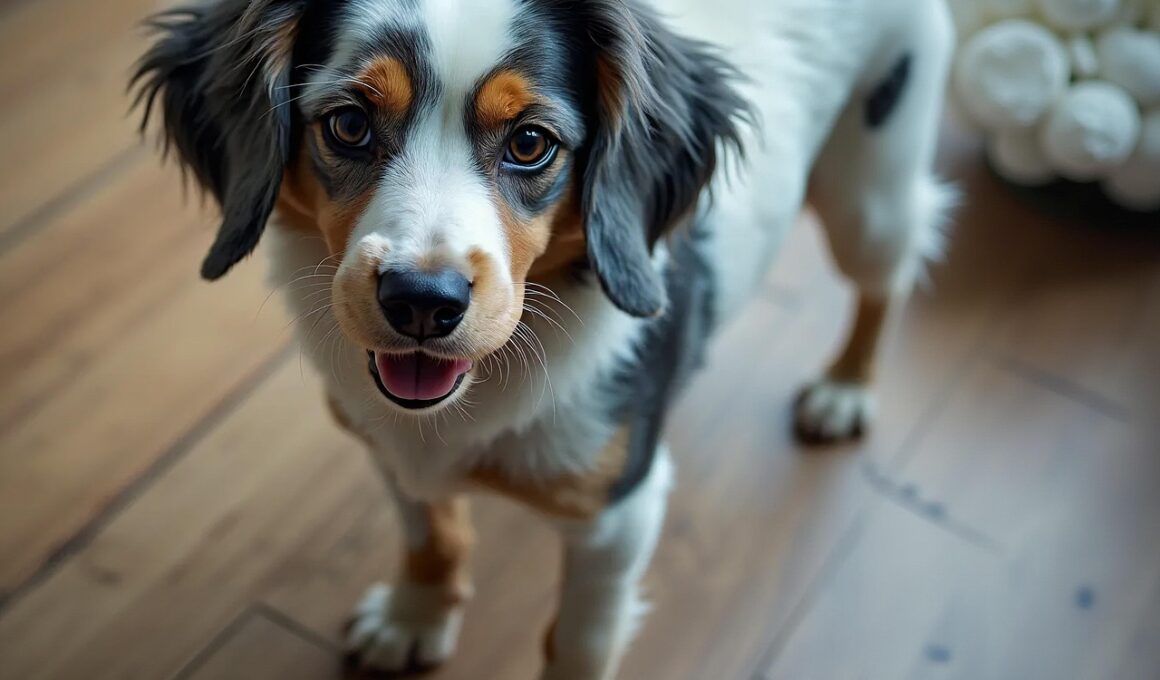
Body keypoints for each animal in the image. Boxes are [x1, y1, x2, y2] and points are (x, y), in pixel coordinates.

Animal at [133, 0, 955, 677]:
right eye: (348, 124)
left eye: (530, 142)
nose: (422, 303)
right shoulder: (388, 446)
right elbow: (432, 535)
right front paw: (413, 617)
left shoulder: (619, 515)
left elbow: (579, 644)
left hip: (869, 192)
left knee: (890, 273)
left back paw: (845, 388)